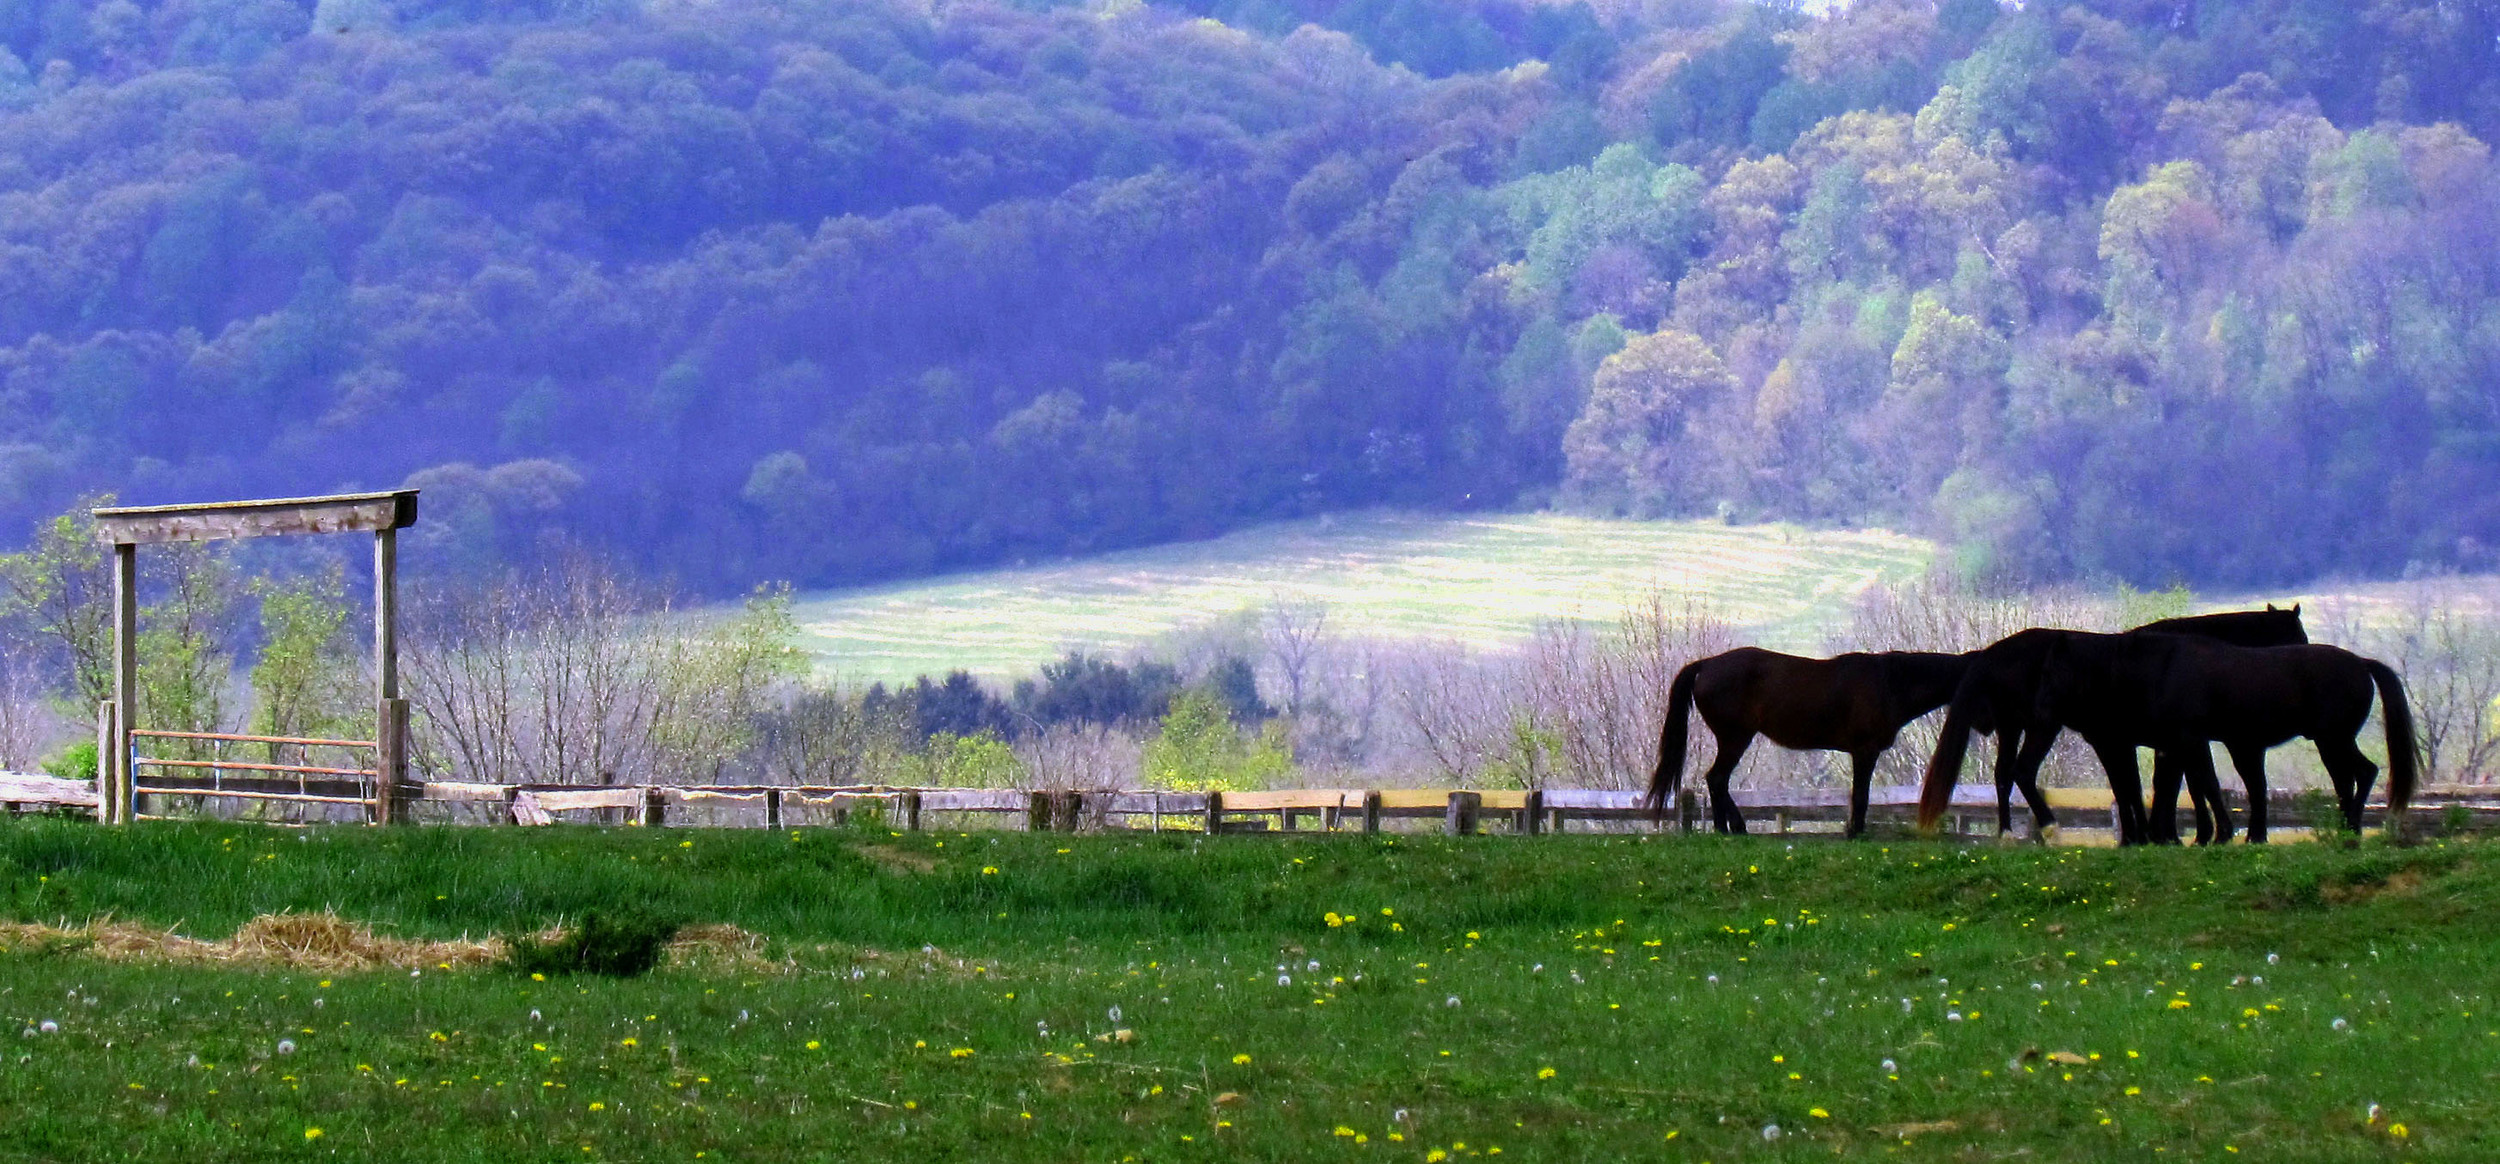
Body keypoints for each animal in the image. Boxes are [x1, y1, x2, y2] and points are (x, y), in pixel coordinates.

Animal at [1648, 648, 1972, 838]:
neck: (1888, 683)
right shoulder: (1864, 751)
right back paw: (1728, 829)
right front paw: (1856, 832)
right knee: (1716, 778)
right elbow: (1861, 796)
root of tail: (1705, 666)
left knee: (1718, 780)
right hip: (1735, 737)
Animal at [1915, 606, 2307, 844]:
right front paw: (2173, 835)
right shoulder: (2167, 743)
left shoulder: (2140, 743)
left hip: (2013, 728)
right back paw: (2050, 828)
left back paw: (2007, 832)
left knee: (2003, 775)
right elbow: (2174, 786)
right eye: (2298, 637)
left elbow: (2144, 787)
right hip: (2042, 727)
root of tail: (1990, 654)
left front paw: (2154, 835)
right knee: (2022, 771)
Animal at [2032, 633, 2417, 839]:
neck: (2159, 669)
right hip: (2331, 741)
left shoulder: (2189, 740)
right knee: (2346, 779)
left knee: (2362, 773)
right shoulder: (2177, 746)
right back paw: (2345, 827)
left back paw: (2351, 826)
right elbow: (2187, 787)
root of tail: (2361, 663)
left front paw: (2220, 834)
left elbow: (2205, 784)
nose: (2039, 707)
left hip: (2333, 738)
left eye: (2055, 671)